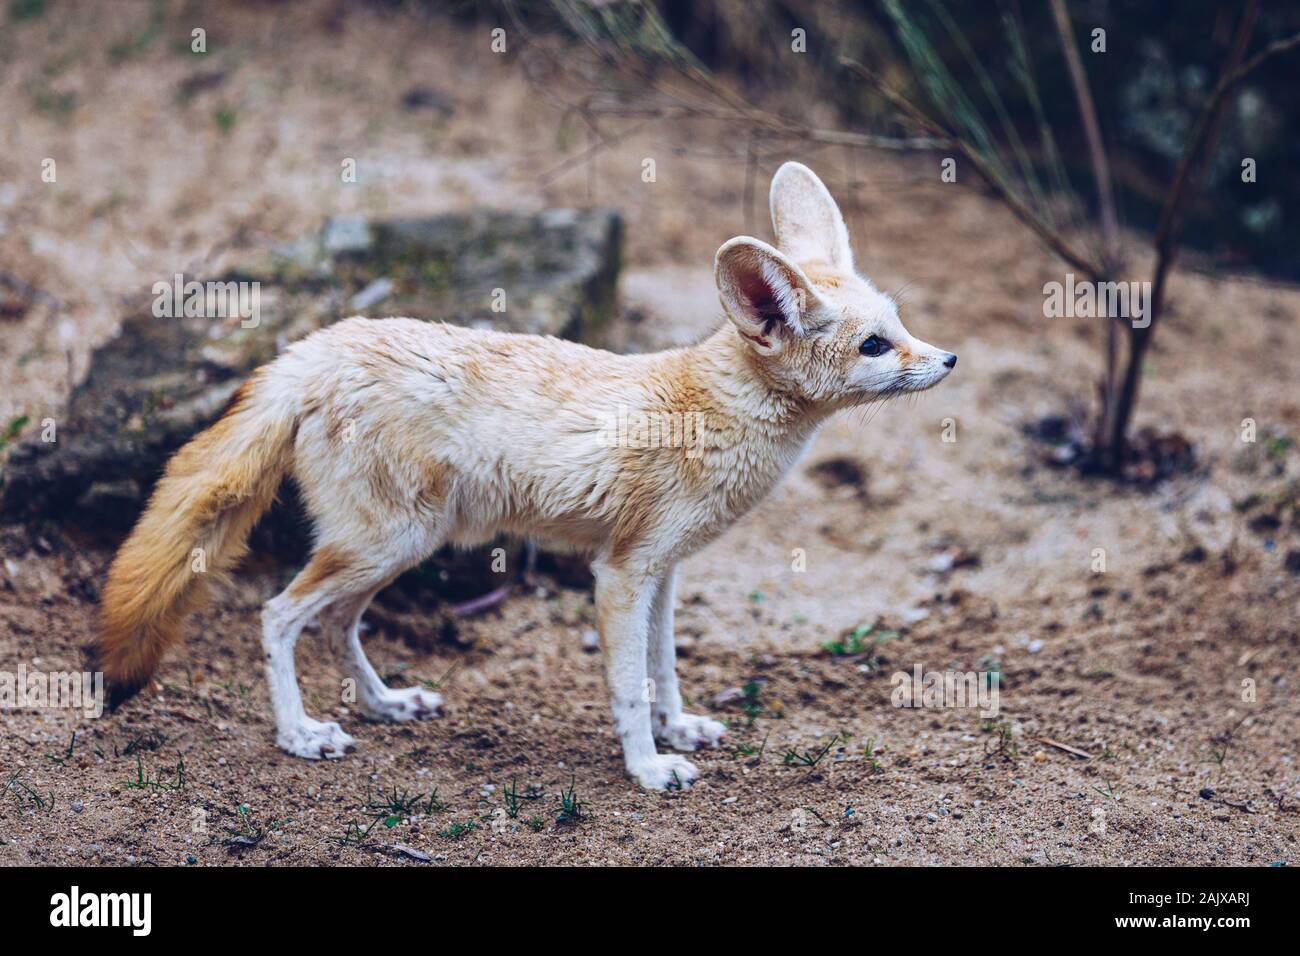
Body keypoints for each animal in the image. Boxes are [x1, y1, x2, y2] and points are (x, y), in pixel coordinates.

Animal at [96, 164, 956, 790]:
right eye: (876, 346)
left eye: (900, 324)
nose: (949, 359)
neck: (708, 408)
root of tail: (311, 348)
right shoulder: (621, 572)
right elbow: (628, 686)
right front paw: (647, 767)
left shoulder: (665, 572)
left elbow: (665, 669)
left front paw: (677, 729)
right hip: (383, 545)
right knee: (277, 615)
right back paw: (299, 734)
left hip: (396, 548)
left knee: (337, 623)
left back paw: (385, 704)